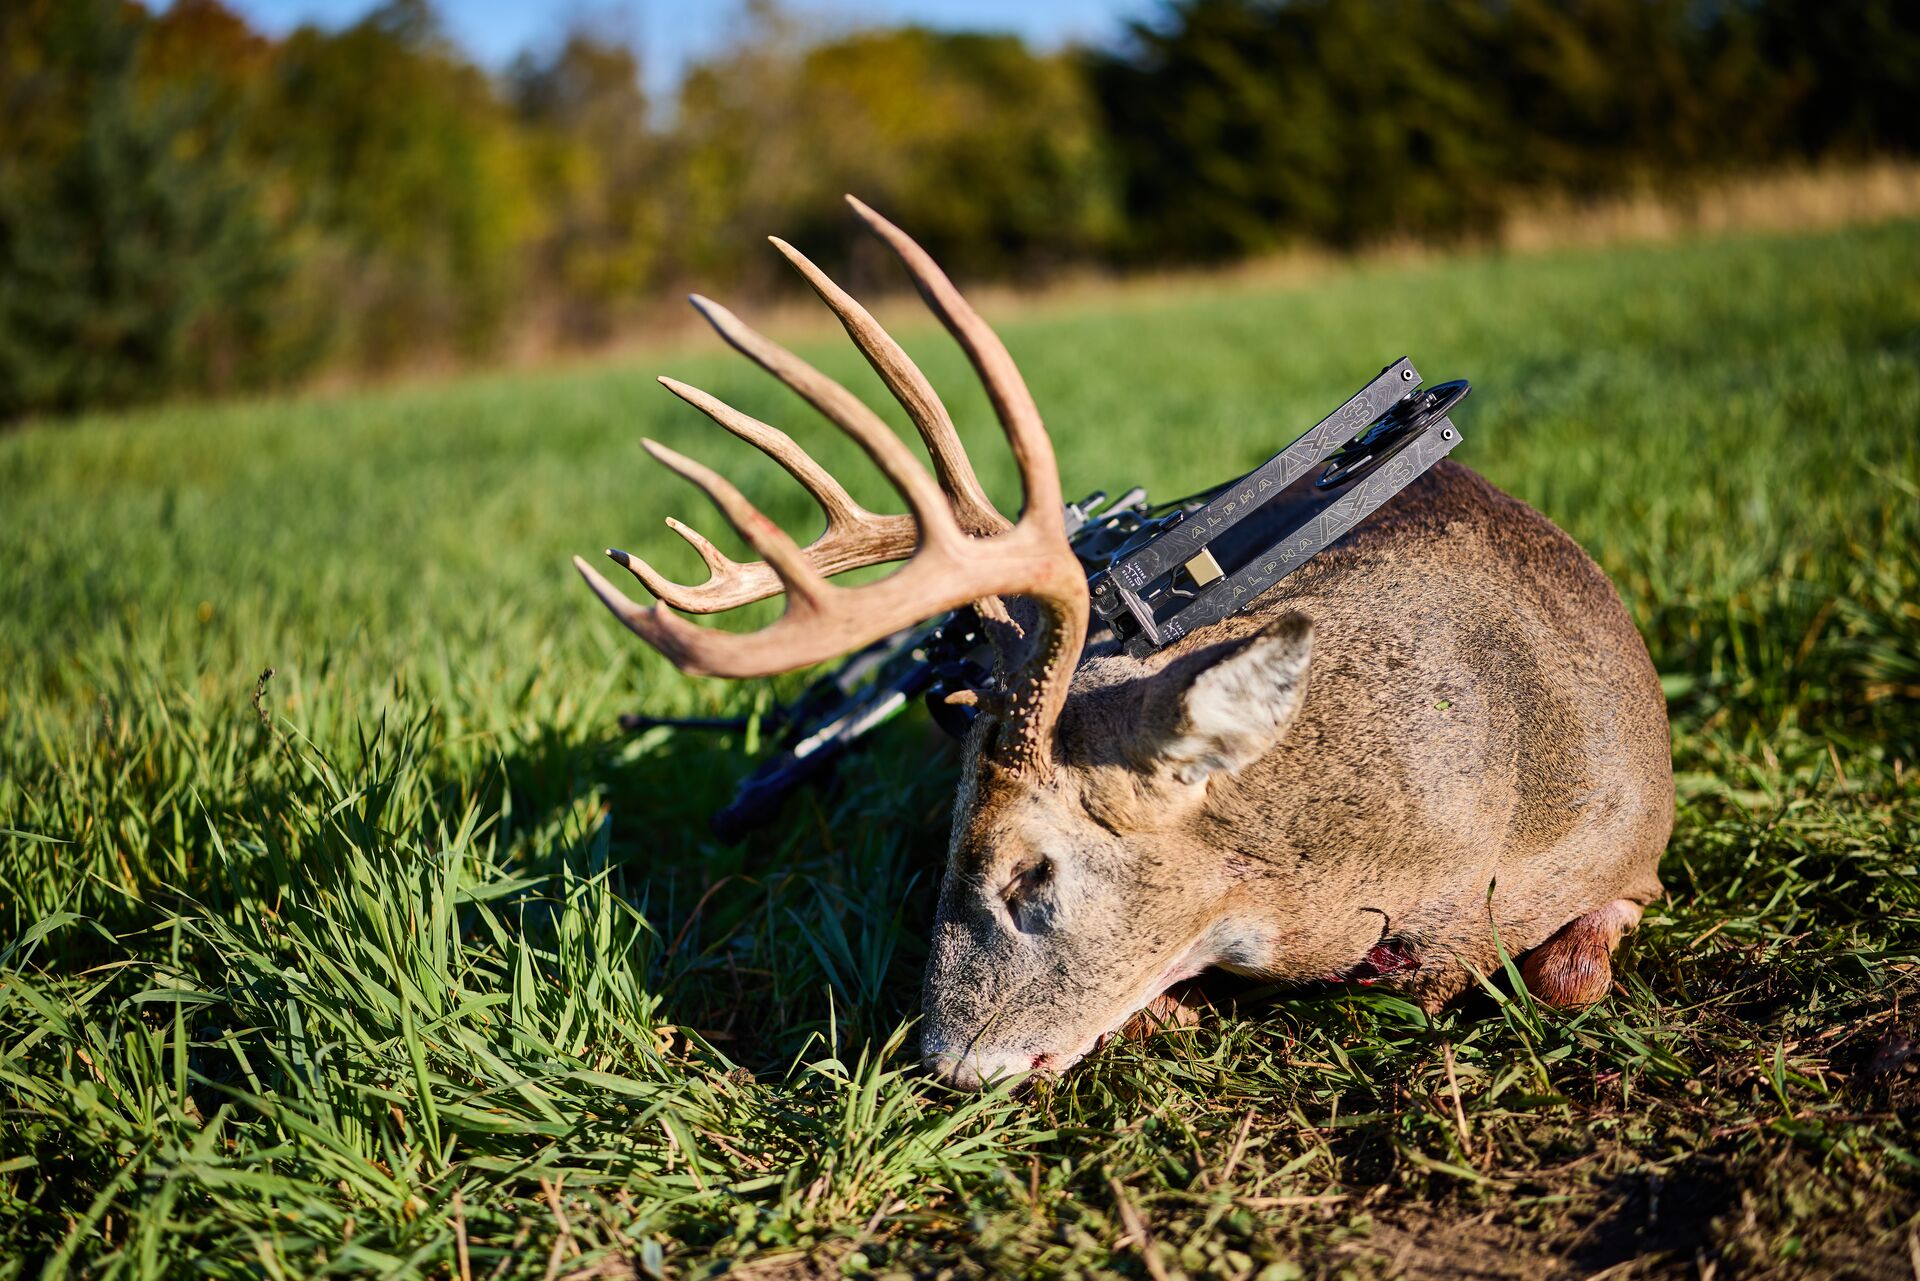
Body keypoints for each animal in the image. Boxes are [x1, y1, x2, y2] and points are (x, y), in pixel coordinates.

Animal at [575, 197, 1673, 1091]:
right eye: (944, 842)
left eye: (1033, 874)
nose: (948, 1064)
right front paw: (1176, 1007)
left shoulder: (1635, 843)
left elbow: (1565, 973)